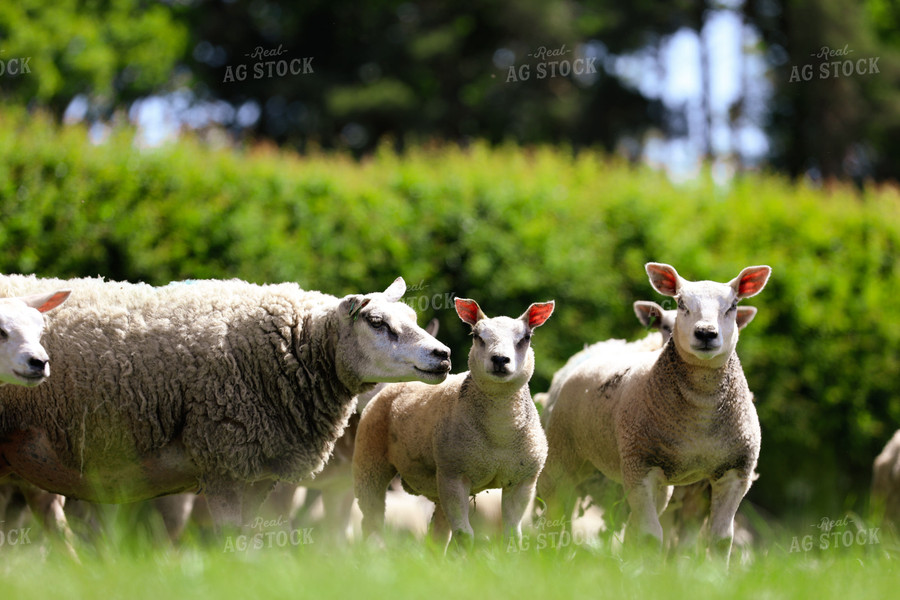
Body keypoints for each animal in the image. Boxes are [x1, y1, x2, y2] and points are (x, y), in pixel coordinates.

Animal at [354, 298, 552, 552]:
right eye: (477, 336)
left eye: (526, 337)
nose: (499, 360)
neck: (499, 434)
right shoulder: (454, 475)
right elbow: (465, 535)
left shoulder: (522, 480)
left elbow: (512, 535)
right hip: (370, 460)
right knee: (371, 520)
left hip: (438, 483)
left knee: (436, 536)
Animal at [536, 262, 768, 564]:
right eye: (681, 304)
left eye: (732, 306)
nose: (706, 333)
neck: (701, 414)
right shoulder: (640, 465)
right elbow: (649, 537)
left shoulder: (733, 473)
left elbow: (719, 540)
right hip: (563, 459)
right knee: (554, 514)